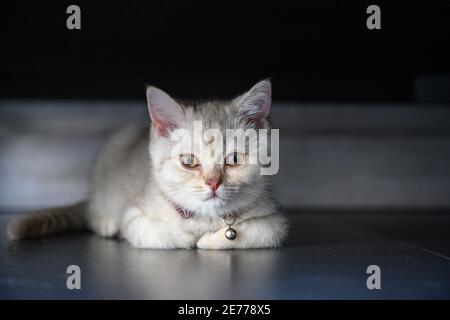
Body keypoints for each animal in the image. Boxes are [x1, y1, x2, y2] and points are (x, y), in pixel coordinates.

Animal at [6, 80, 288, 250]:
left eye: (235, 159)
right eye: (189, 161)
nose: (213, 183)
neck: (204, 218)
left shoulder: (273, 219)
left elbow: (262, 233)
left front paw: (210, 240)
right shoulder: (134, 215)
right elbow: (160, 235)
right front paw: (188, 237)